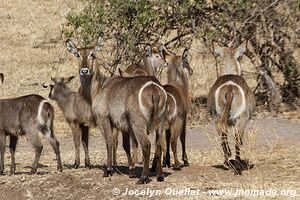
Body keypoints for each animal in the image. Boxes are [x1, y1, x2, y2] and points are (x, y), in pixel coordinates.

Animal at [66, 37, 168, 184]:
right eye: (77, 54)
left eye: (92, 54)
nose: (84, 71)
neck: (99, 88)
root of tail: (153, 86)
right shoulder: (123, 126)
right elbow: (125, 145)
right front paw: (130, 171)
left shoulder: (104, 119)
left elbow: (109, 141)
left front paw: (108, 170)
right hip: (159, 122)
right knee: (159, 144)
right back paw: (159, 175)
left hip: (138, 122)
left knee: (146, 145)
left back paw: (143, 177)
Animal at [209, 42, 255, 175]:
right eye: (240, 57)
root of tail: (229, 87)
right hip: (241, 118)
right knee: (237, 139)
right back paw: (237, 167)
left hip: (217, 118)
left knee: (223, 138)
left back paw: (228, 163)